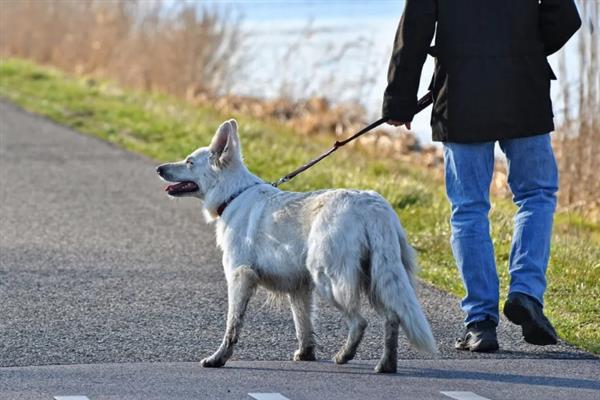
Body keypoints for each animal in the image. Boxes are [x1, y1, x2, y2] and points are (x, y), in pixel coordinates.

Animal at [155, 118, 436, 372]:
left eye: (189, 161)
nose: (158, 168)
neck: (233, 194)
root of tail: (372, 206)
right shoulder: (299, 288)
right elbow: (303, 325)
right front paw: (306, 354)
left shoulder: (239, 277)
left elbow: (232, 325)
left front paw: (218, 358)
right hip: (377, 278)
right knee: (392, 318)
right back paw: (386, 364)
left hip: (329, 280)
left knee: (360, 322)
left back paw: (344, 355)